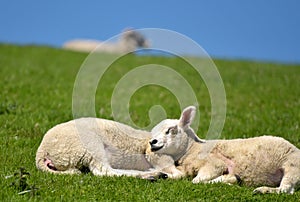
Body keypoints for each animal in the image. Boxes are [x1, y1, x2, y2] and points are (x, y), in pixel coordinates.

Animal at [149, 105, 300, 194]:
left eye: (170, 130)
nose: (152, 142)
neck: (192, 149)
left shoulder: (215, 164)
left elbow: (196, 181)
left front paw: (229, 179)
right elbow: (177, 175)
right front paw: (156, 176)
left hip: (292, 166)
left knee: (285, 189)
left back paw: (262, 190)